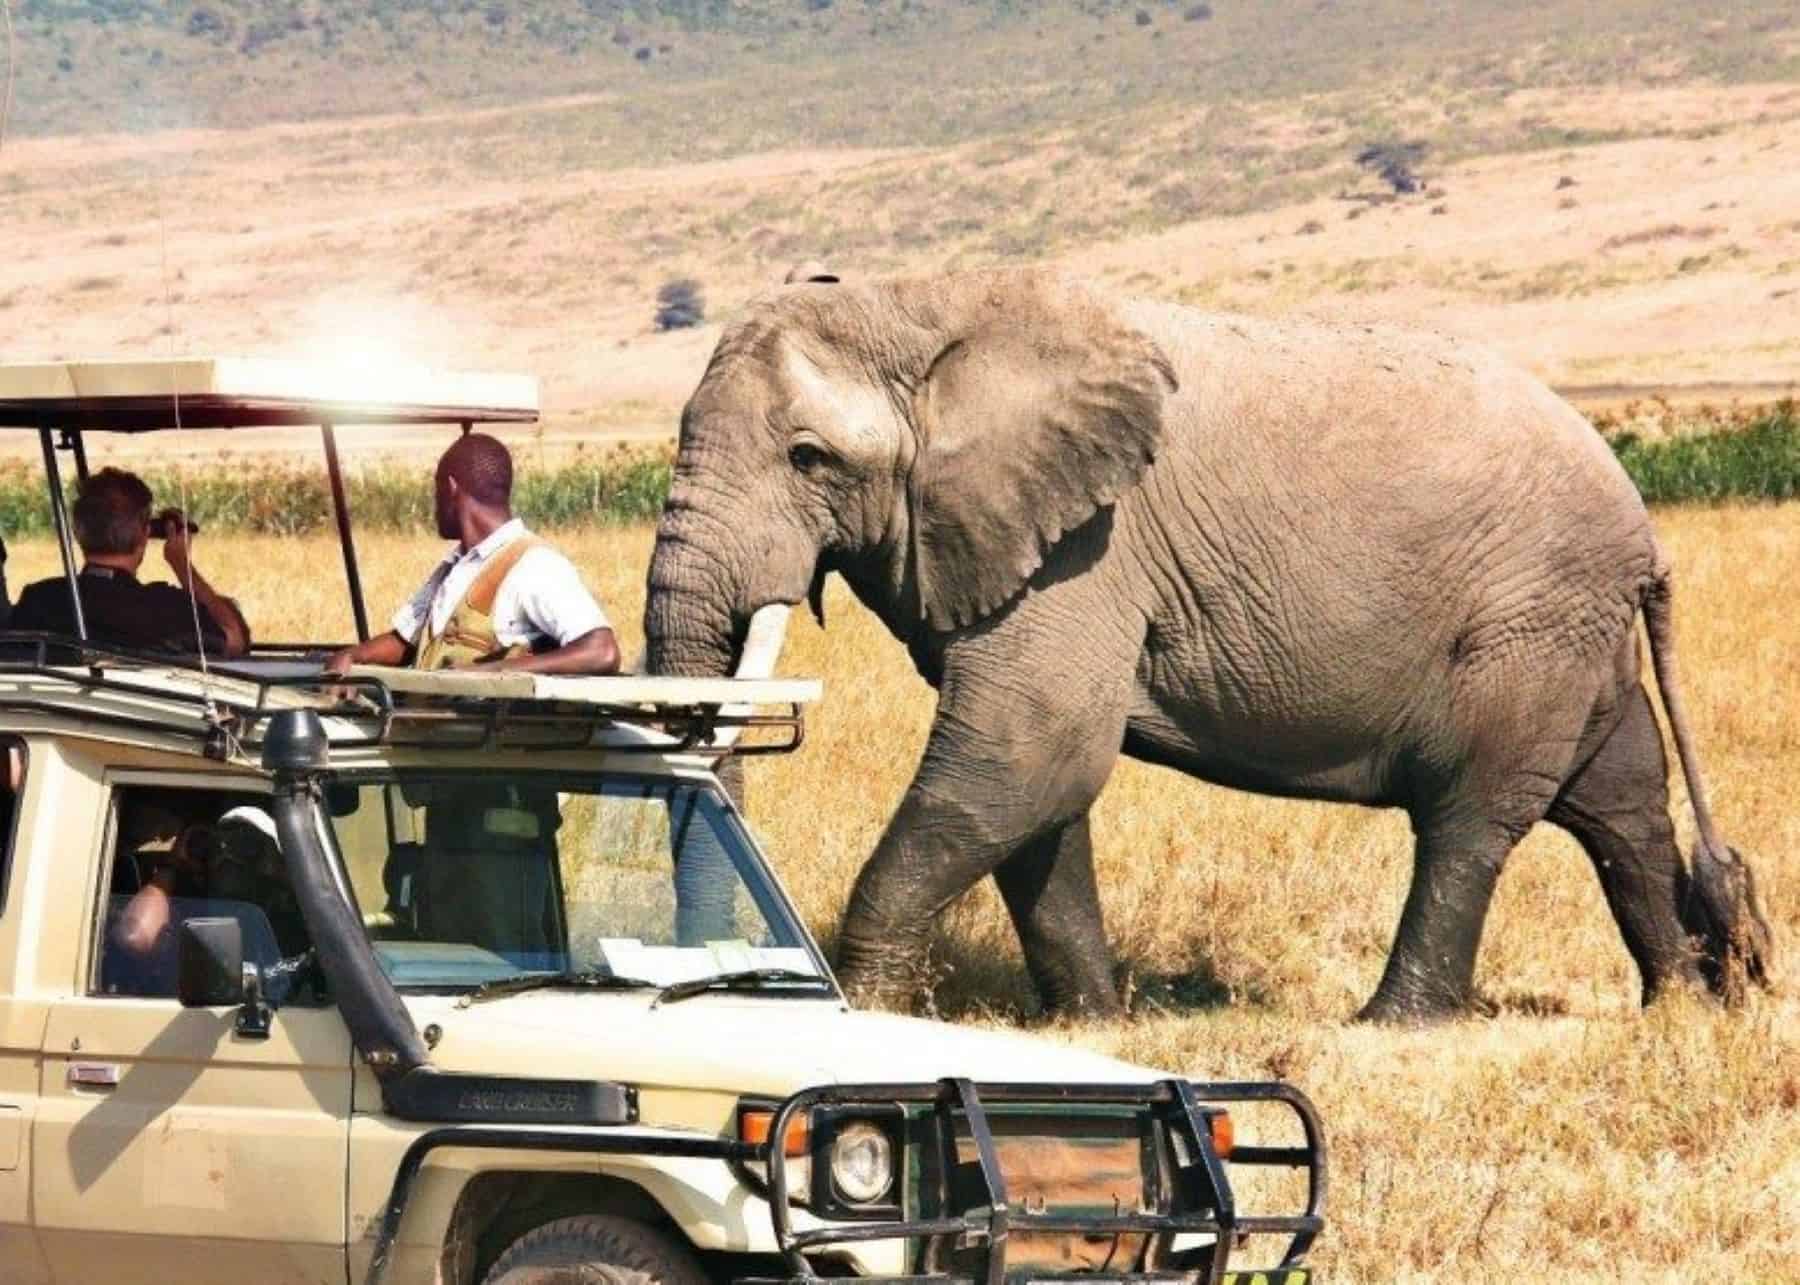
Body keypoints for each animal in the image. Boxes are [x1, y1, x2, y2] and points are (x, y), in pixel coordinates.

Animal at [643, 266, 1774, 1023]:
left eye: (809, 458)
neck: (920, 307)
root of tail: (1645, 532)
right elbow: (1038, 793)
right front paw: (1093, 1025)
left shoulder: (1086, 549)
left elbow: (1027, 751)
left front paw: (867, 1012)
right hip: (1571, 632)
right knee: (1619, 805)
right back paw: (1682, 1006)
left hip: (1528, 620)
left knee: (1472, 817)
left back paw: (1392, 1024)